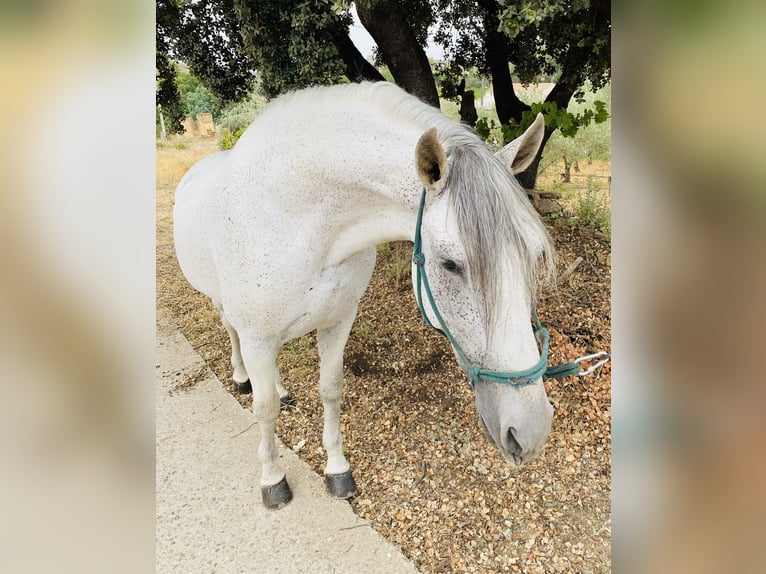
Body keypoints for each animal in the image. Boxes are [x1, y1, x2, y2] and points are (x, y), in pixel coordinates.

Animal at [175, 82, 560, 512]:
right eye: (450, 264)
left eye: (534, 254)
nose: (531, 430)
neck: (298, 219)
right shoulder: (258, 336)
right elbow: (264, 409)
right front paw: (273, 479)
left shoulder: (337, 321)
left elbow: (330, 389)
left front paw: (337, 470)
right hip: (228, 310)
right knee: (232, 335)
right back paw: (242, 378)